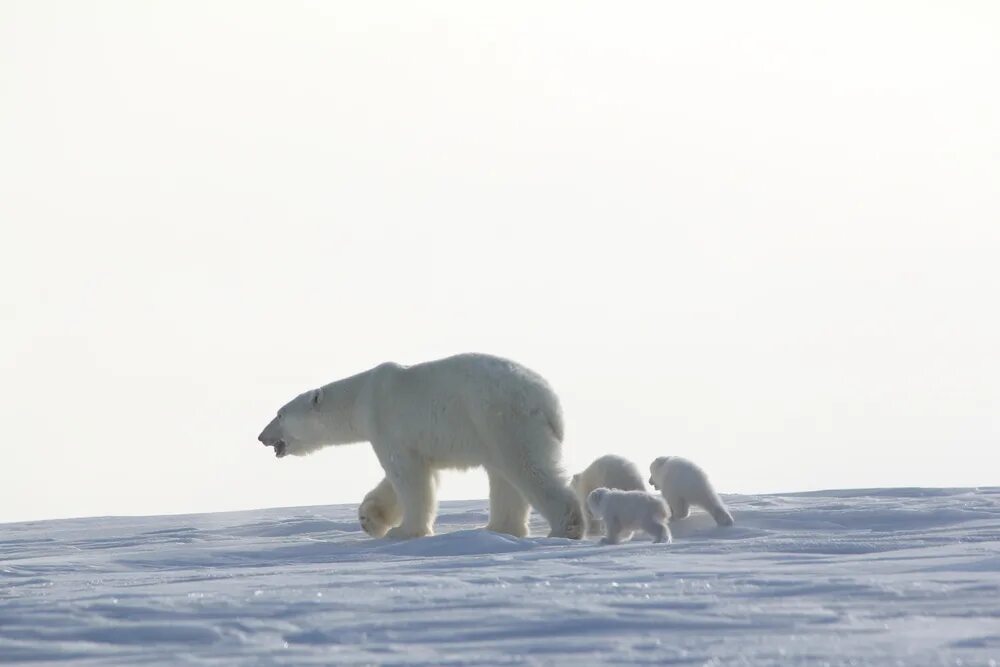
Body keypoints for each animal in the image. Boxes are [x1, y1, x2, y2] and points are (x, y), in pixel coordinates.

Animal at [258, 352, 584, 540]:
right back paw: (497, 529)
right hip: (490, 429)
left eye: (279, 414)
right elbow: (405, 477)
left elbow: (407, 477)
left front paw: (404, 531)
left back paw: (565, 526)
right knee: (504, 477)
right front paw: (369, 518)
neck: (362, 396)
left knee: (527, 467)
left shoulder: (386, 420)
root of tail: (549, 402)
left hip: (501, 417)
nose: (261, 436)